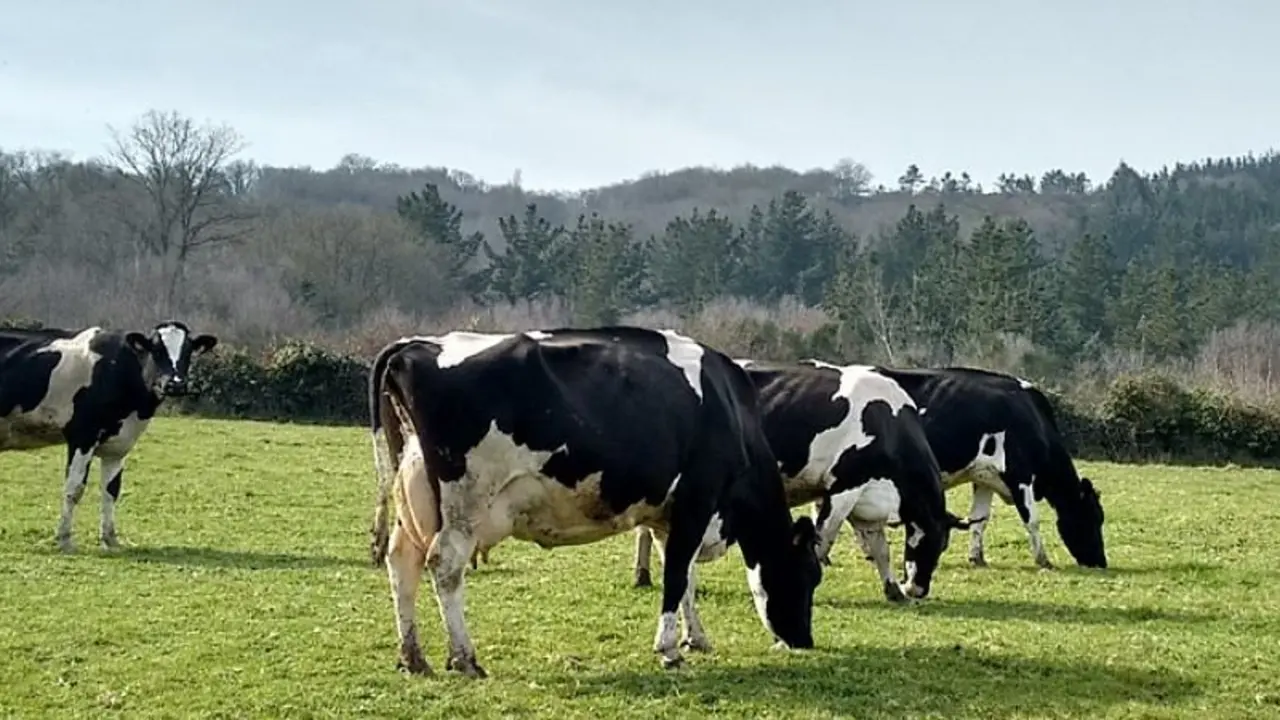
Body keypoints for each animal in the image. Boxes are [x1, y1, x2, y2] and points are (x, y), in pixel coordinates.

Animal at [0, 321, 218, 552]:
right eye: (156, 350)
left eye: (188, 351)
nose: (175, 384)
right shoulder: (83, 436)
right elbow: (74, 488)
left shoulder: (118, 445)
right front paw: (65, 539)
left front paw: (110, 539)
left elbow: (111, 491)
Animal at [366, 328, 823, 678]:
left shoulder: (669, 515)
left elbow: (685, 577)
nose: (804, 640)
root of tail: (417, 345)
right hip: (465, 502)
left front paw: (695, 638)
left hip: (414, 494)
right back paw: (465, 659)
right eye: (808, 576)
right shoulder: (698, 498)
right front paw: (669, 650)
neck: (731, 409)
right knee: (444, 565)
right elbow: (677, 575)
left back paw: (413, 657)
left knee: (402, 561)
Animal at [632, 359, 979, 602]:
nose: (918, 590)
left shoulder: (867, 499)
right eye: (929, 542)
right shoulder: (843, 488)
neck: (887, 420)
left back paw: (644, 576)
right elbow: (824, 538)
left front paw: (892, 589)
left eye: (945, 545)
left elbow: (880, 548)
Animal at [872, 366, 1107, 570]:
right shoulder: (1020, 475)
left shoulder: (984, 477)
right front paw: (1044, 560)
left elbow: (980, 519)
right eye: (1093, 518)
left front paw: (976, 558)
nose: (1101, 562)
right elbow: (1032, 519)